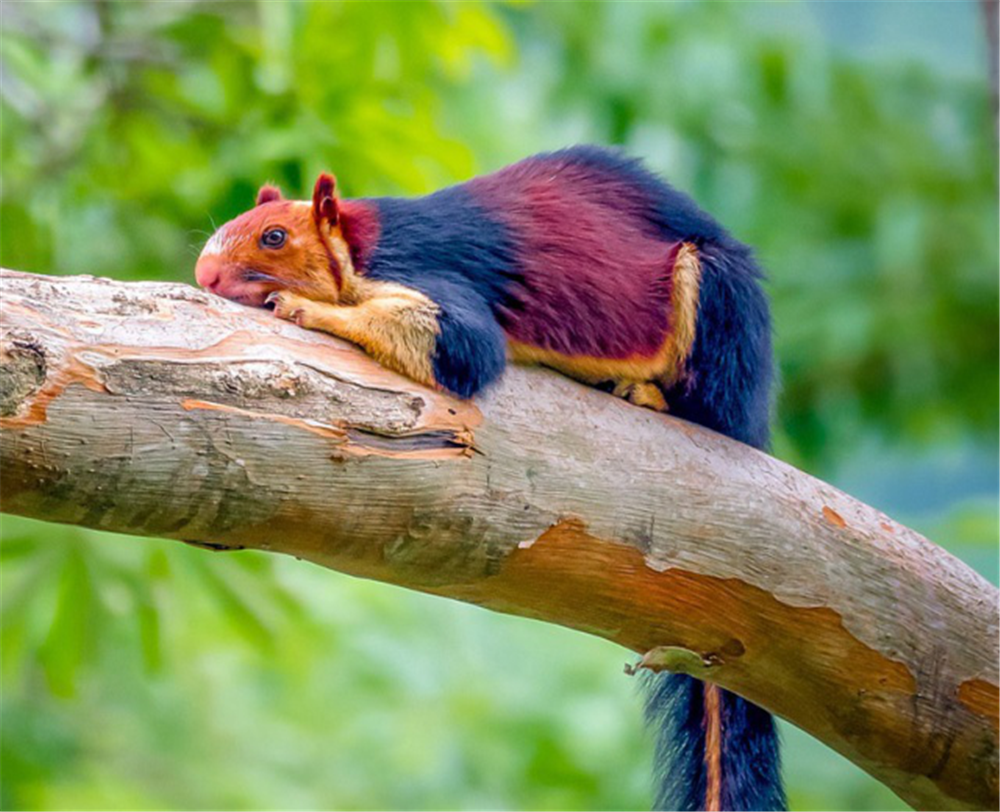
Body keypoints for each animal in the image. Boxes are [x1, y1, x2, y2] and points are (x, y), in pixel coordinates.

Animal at [195, 146, 784, 812]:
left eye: (274, 236)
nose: (205, 273)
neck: (361, 246)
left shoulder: (430, 274)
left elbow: (459, 341)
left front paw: (309, 309)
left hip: (718, 304)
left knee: (710, 406)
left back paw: (652, 395)